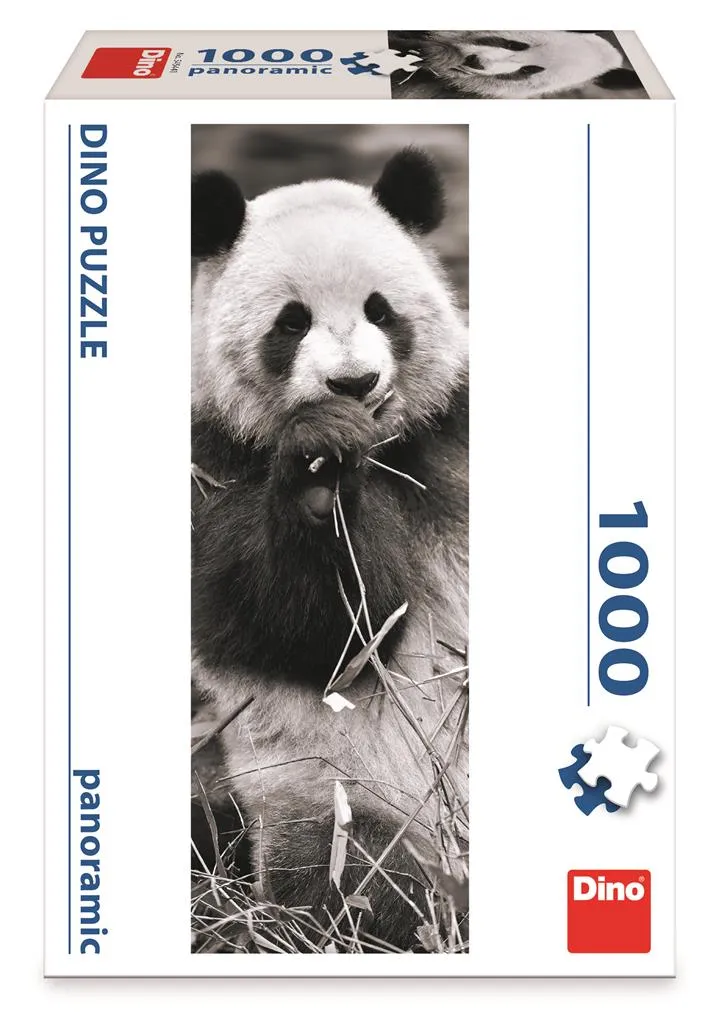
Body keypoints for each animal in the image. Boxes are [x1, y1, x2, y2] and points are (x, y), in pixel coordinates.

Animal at [191, 147, 469, 951]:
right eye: (291, 322)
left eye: (381, 309)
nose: (354, 382)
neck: (384, 448)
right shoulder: (210, 465)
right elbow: (312, 632)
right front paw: (320, 477)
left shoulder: (457, 432)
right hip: (334, 796)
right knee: (360, 882)